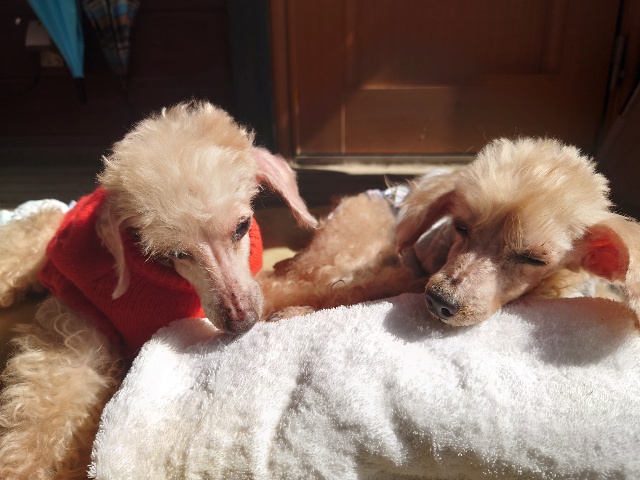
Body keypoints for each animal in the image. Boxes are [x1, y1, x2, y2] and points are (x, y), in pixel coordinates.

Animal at [261, 137, 640, 328]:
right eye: (461, 227)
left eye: (533, 259)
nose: (439, 301)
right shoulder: (408, 276)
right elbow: (348, 295)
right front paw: (294, 314)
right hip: (349, 247)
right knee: (291, 279)